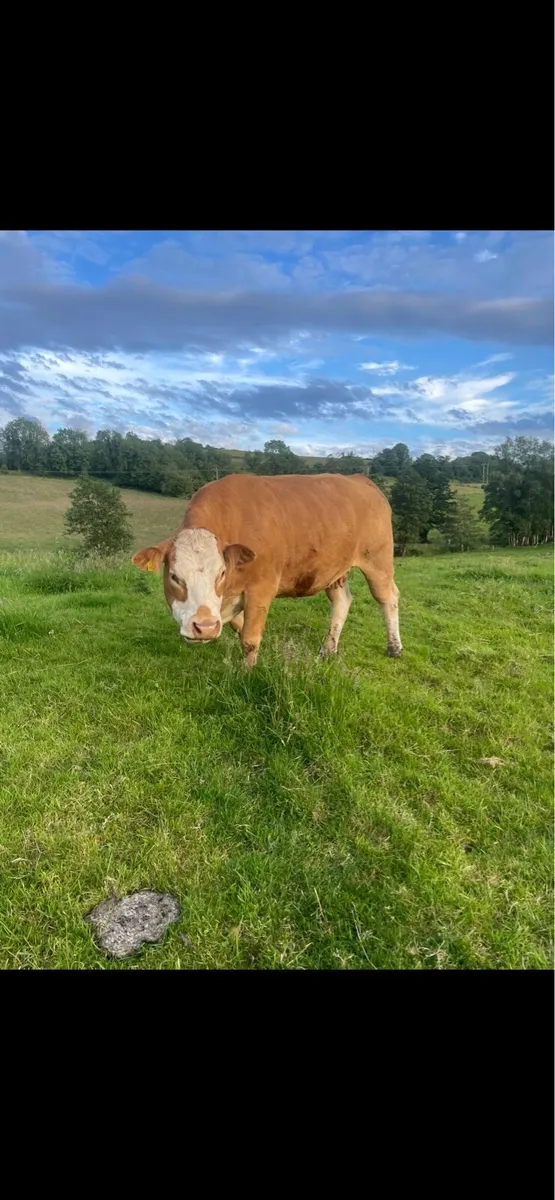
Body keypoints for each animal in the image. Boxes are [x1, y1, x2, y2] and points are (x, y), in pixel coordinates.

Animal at [132, 473, 402, 669]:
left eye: (221, 573)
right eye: (175, 576)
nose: (205, 627)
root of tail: (360, 478)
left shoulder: (262, 587)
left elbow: (250, 638)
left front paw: (247, 674)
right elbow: (240, 627)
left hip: (378, 560)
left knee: (388, 597)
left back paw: (394, 647)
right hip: (334, 569)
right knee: (342, 601)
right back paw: (328, 649)